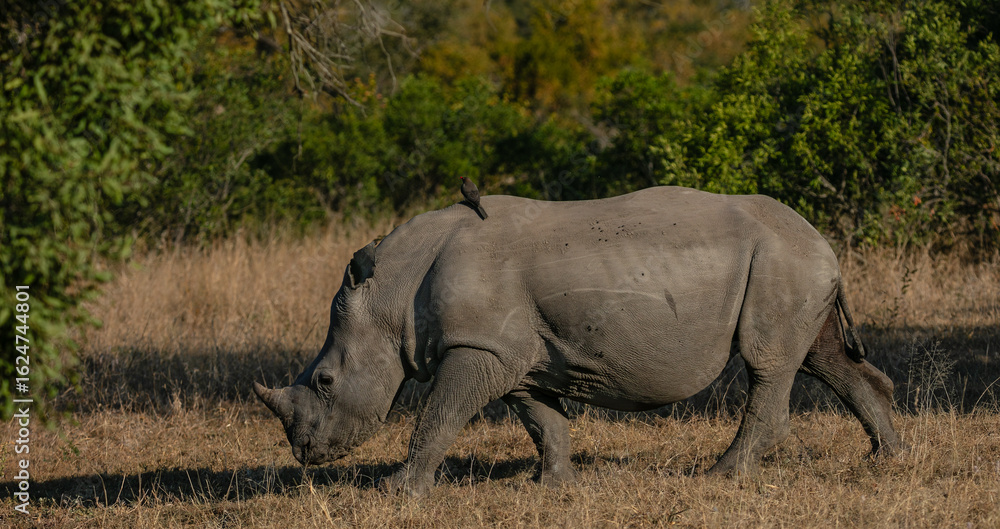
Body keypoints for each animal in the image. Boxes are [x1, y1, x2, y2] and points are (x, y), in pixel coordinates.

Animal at [254, 186, 900, 495]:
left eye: (325, 381)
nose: (304, 454)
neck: (391, 291)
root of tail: (823, 240)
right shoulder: (510, 351)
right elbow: (543, 419)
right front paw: (553, 484)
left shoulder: (478, 347)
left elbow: (438, 415)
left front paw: (398, 492)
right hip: (793, 263)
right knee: (819, 358)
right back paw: (887, 458)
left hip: (781, 260)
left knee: (770, 363)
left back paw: (719, 476)